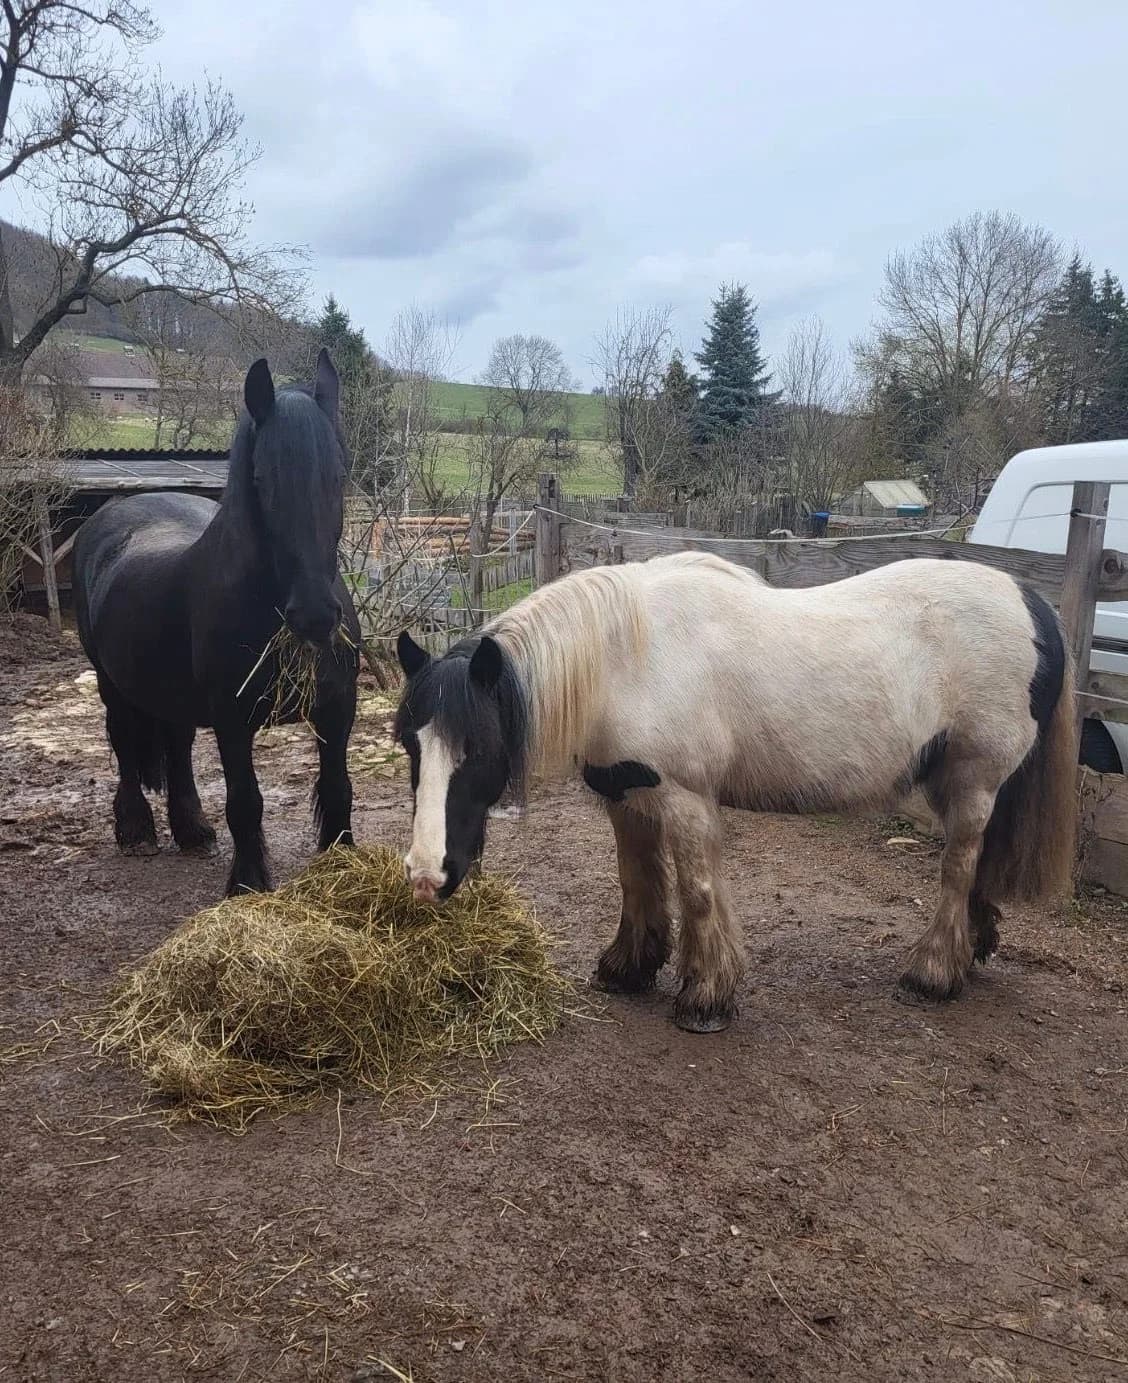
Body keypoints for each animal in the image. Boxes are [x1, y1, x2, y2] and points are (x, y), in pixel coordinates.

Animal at [73, 350, 360, 897]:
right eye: (263, 481)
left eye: (338, 475)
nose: (314, 616)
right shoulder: (232, 719)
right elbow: (245, 802)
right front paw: (247, 884)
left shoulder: (337, 709)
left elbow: (338, 789)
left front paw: (344, 867)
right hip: (110, 682)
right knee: (124, 743)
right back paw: (136, 830)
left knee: (178, 745)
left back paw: (191, 829)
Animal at [392, 550, 1076, 1033]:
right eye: (409, 746)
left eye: (479, 750)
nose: (427, 876)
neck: (625, 659)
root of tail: (1031, 600)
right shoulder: (626, 793)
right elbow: (637, 881)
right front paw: (628, 967)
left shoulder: (685, 798)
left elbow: (696, 891)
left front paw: (705, 999)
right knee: (977, 861)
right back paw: (973, 947)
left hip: (974, 778)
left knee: (958, 865)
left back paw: (933, 973)